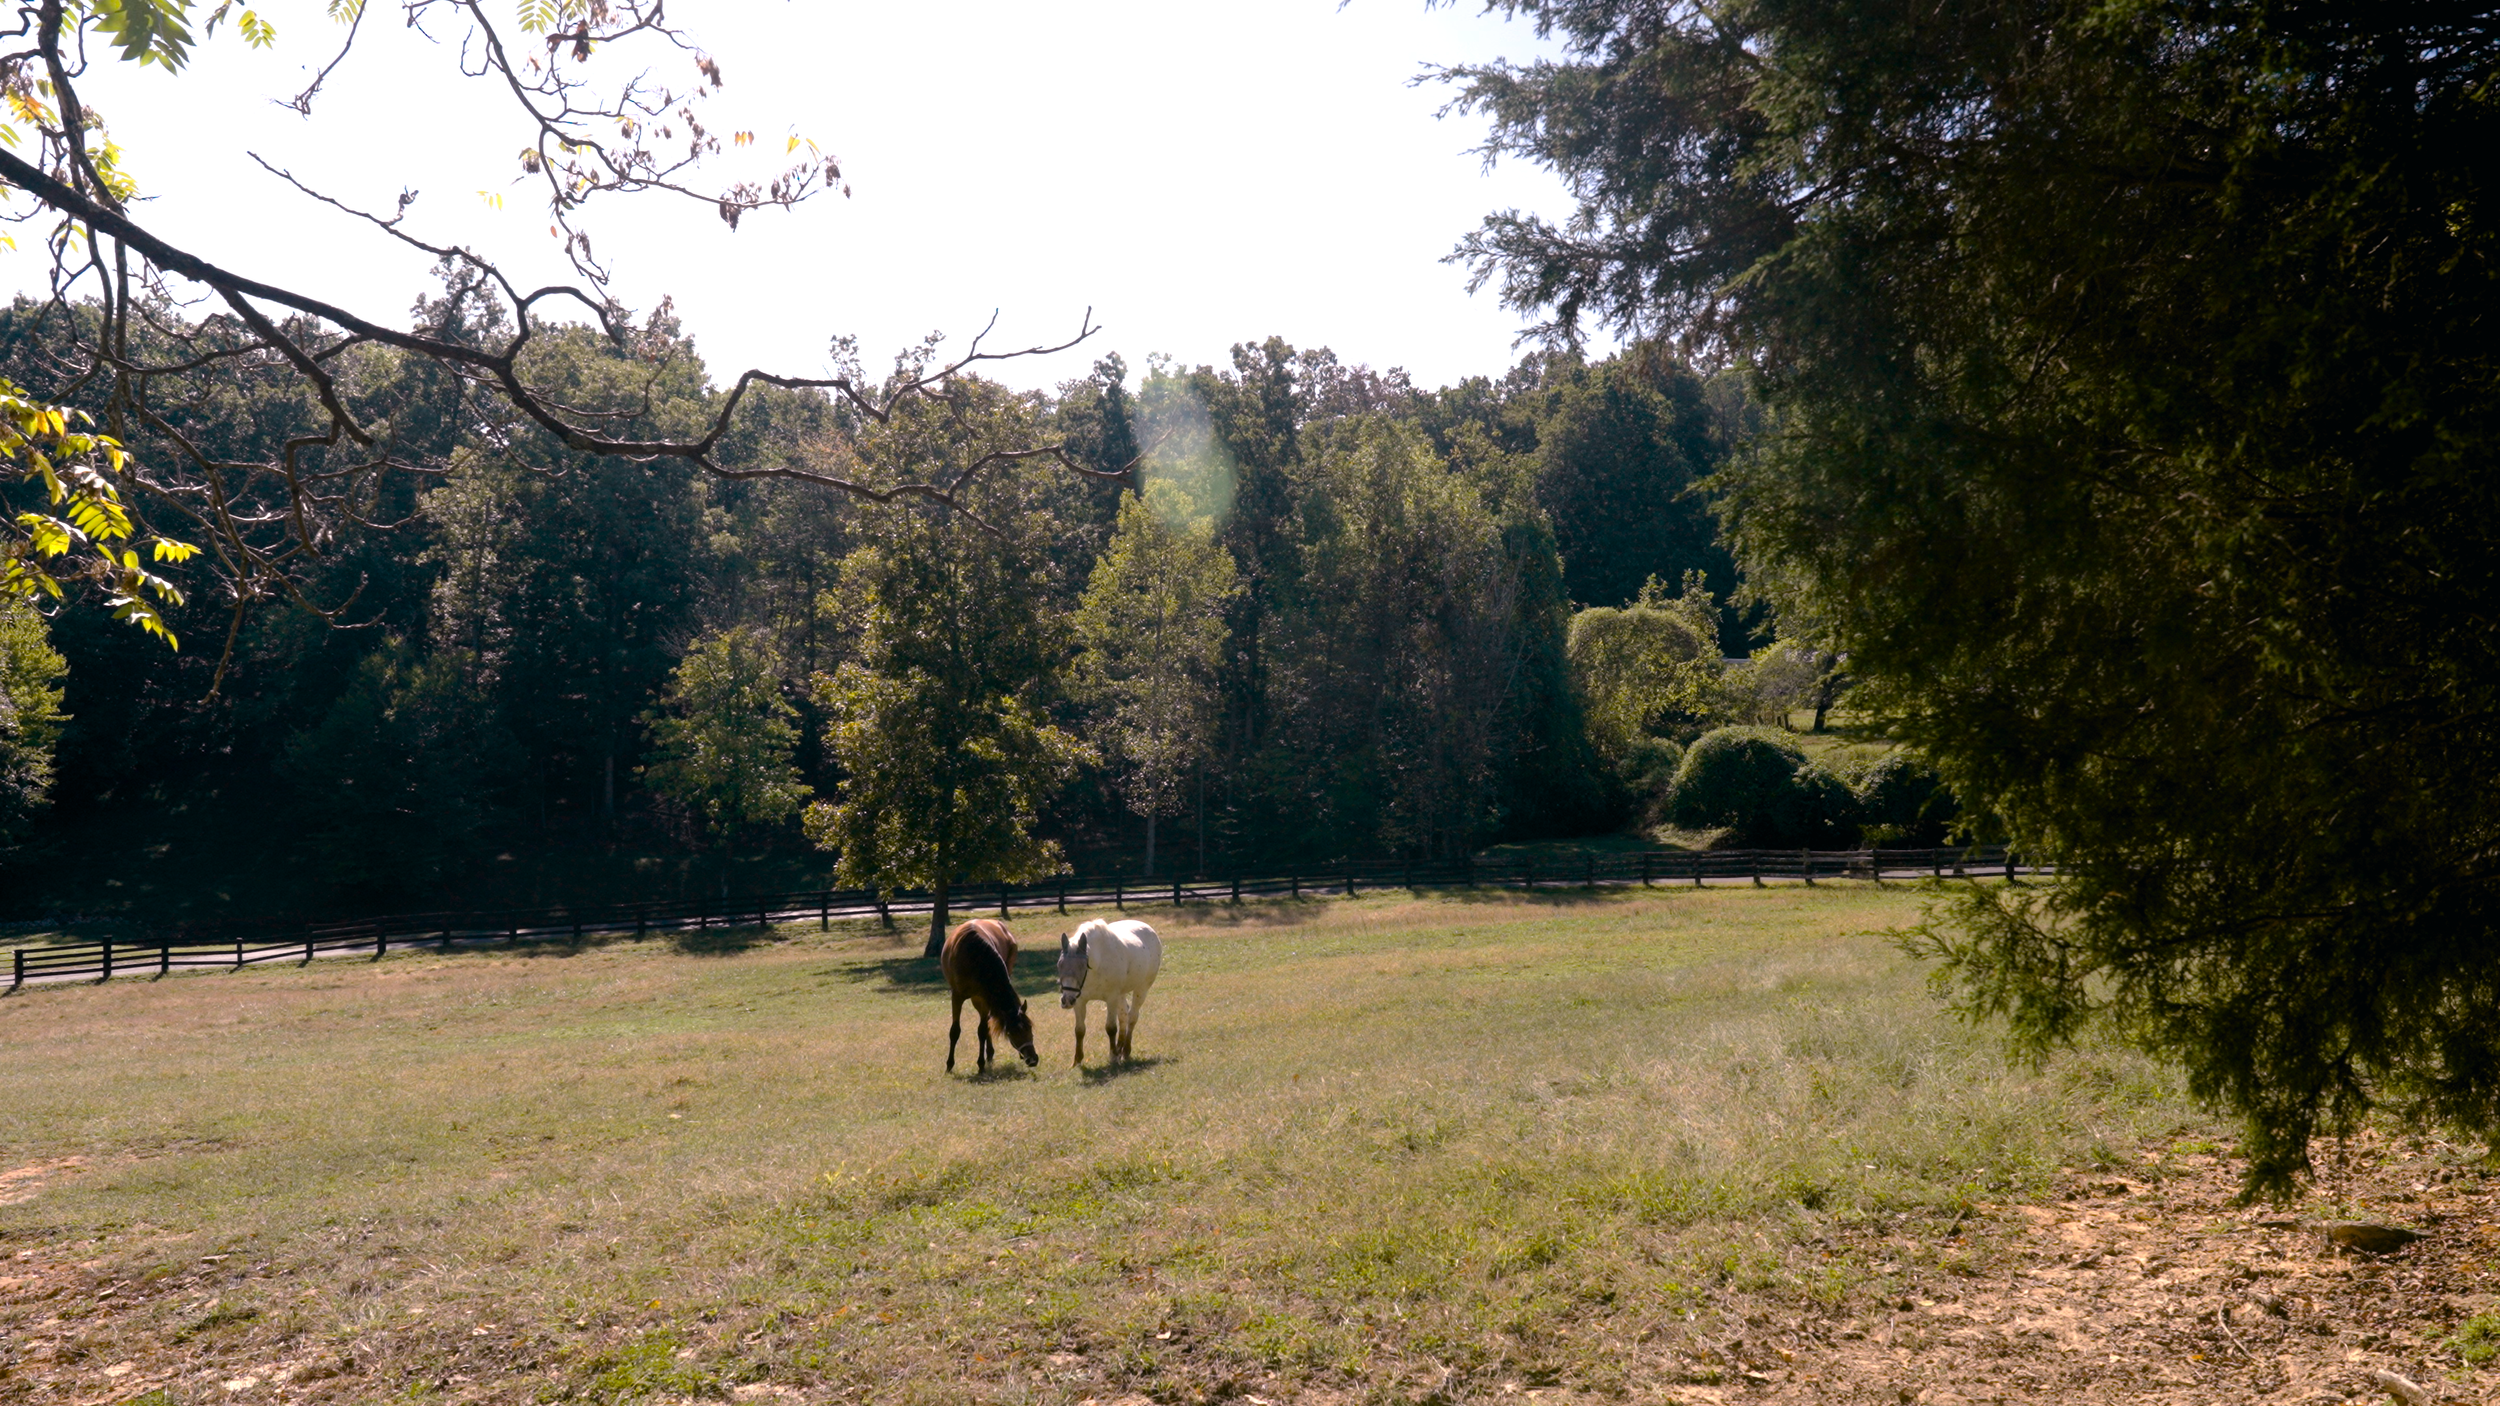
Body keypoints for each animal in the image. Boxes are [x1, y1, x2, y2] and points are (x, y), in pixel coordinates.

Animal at [940, 919, 1039, 1074]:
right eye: (1012, 1033)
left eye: (1029, 1028)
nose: (1033, 1059)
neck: (974, 955)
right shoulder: (957, 996)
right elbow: (955, 1031)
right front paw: (949, 1065)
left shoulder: (984, 997)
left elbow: (982, 1030)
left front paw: (981, 1064)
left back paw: (989, 1054)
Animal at [1056, 917, 1162, 1065]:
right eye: (1059, 964)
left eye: (1082, 966)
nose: (1066, 1001)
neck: (1096, 967)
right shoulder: (1079, 1001)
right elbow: (1079, 1030)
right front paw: (1077, 1060)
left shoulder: (1111, 998)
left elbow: (1111, 1028)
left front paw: (1112, 1057)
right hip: (1120, 995)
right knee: (1123, 1015)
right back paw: (1119, 1049)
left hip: (1141, 989)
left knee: (1132, 1017)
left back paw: (1125, 1051)